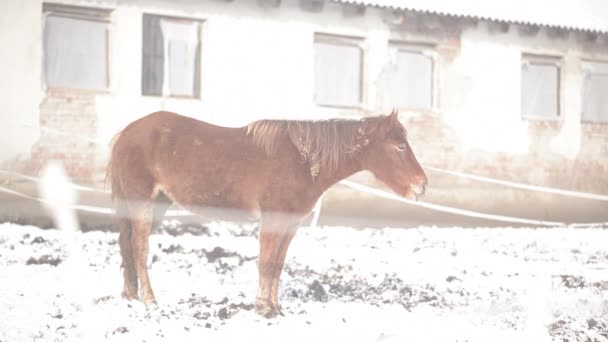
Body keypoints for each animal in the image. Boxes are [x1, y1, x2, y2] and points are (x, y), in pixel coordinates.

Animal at [109, 109, 428, 318]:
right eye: (400, 146)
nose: (422, 185)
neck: (303, 161)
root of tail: (126, 133)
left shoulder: (290, 223)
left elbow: (277, 265)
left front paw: (275, 307)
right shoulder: (273, 219)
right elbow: (265, 263)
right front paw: (263, 308)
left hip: (157, 202)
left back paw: (132, 296)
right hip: (143, 201)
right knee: (139, 248)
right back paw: (150, 300)